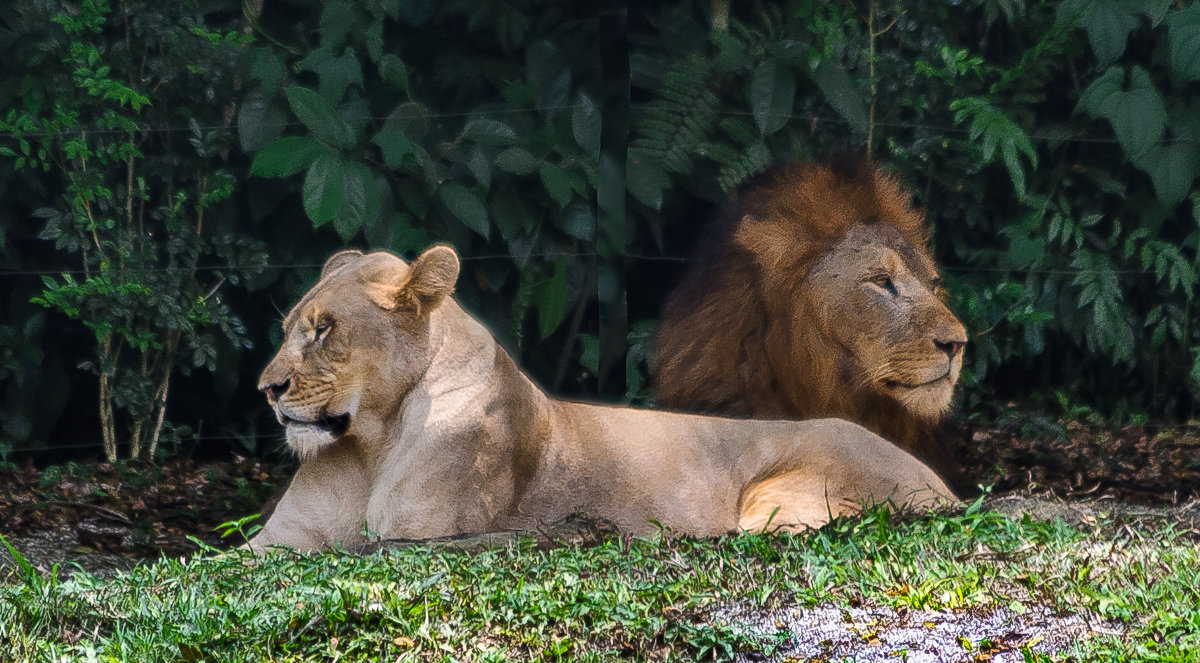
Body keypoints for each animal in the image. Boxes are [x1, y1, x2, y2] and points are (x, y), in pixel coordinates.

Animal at [248, 246, 950, 552]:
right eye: (288, 328)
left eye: (325, 329)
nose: (267, 389)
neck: (370, 443)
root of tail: (947, 490)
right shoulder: (272, 546)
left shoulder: (417, 537)